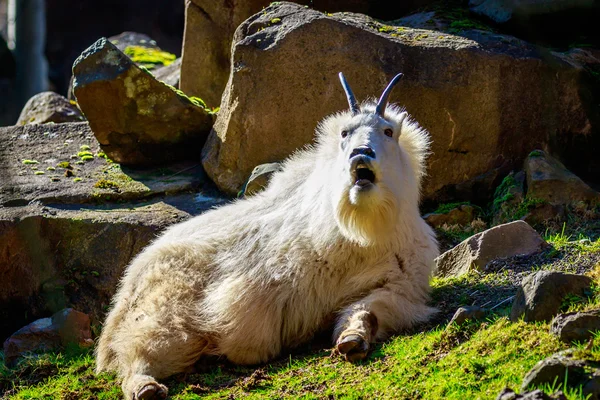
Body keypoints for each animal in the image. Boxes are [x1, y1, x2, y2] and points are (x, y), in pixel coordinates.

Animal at [96, 72, 438, 400]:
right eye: (345, 133)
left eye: (388, 131)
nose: (361, 154)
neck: (362, 235)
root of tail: (128, 284)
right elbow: (251, 335)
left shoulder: (397, 286)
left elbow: (367, 311)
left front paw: (352, 340)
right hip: (166, 306)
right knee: (138, 349)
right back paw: (146, 387)